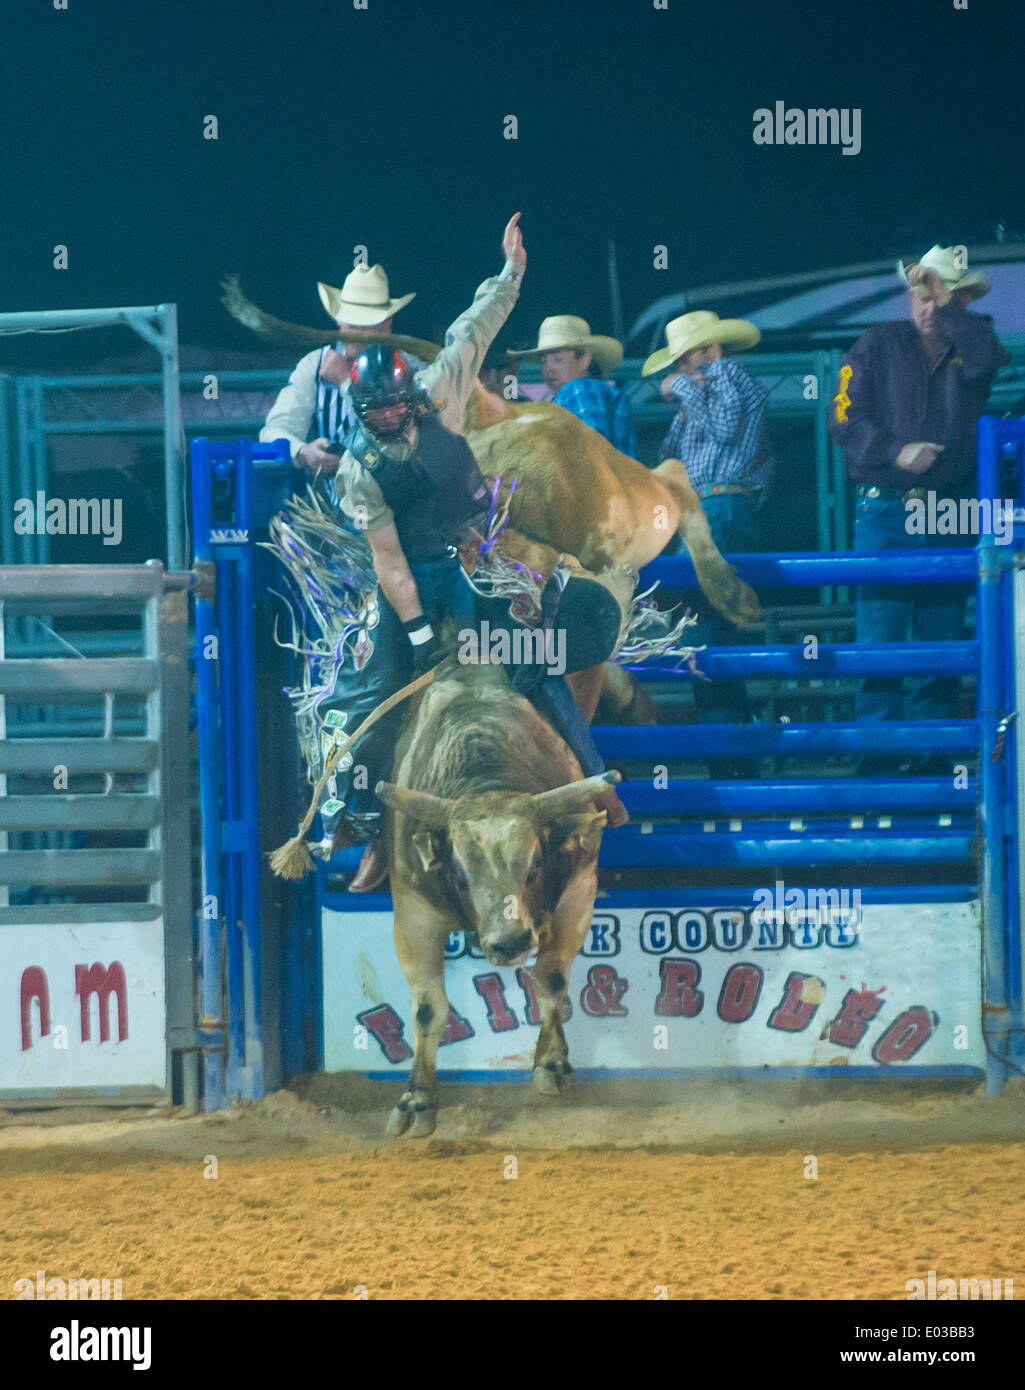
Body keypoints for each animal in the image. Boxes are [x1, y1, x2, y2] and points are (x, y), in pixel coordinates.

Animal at [372, 656, 614, 1134]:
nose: (510, 942)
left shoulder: (580, 890)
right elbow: (428, 1008)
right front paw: (416, 1099)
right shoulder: (413, 912)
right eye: (461, 877)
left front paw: (551, 1063)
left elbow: (550, 979)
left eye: (535, 864)